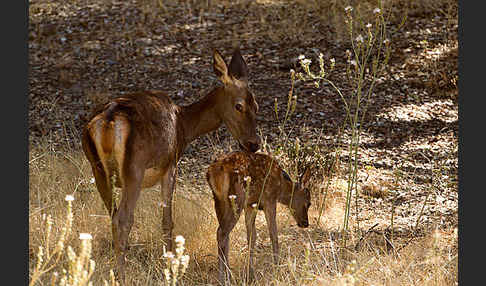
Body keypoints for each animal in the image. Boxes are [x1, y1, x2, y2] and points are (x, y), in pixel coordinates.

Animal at [81, 48, 260, 282]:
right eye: (238, 106)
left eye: (256, 106)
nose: (254, 144)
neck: (184, 126)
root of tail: (108, 123)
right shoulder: (171, 165)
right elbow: (167, 220)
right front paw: (170, 264)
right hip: (134, 170)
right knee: (123, 219)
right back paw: (123, 276)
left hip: (98, 170)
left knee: (112, 216)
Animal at [205, 152, 312, 284]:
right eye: (308, 203)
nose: (305, 223)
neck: (281, 187)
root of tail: (211, 172)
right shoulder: (269, 200)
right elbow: (273, 234)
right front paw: (277, 267)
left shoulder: (250, 205)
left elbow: (252, 236)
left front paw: (250, 274)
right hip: (236, 198)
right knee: (222, 232)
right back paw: (223, 279)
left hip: (219, 201)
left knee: (224, 234)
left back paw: (228, 275)